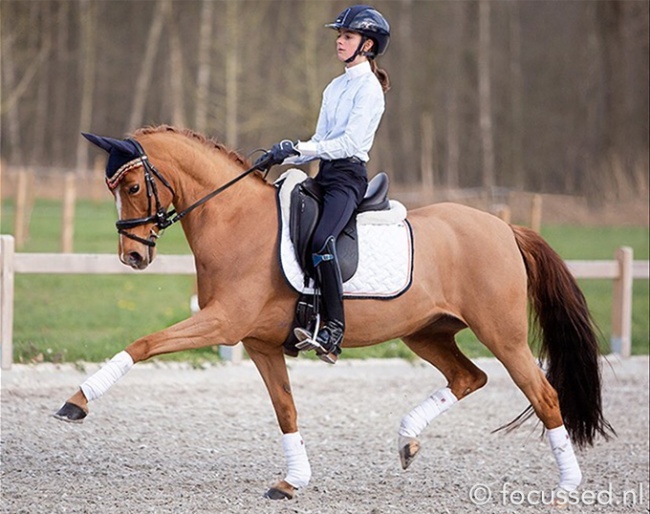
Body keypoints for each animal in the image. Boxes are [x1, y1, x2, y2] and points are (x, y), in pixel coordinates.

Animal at [54, 126, 608, 498]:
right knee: (469, 378)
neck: (236, 221)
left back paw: (567, 487)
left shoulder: (223, 323)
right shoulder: (258, 343)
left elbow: (143, 343)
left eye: (131, 188)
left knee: (544, 395)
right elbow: (286, 410)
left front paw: (77, 401)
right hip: (426, 333)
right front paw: (292, 480)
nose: (133, 256)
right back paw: (407, 440)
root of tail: (504, 228)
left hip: (503, 334)